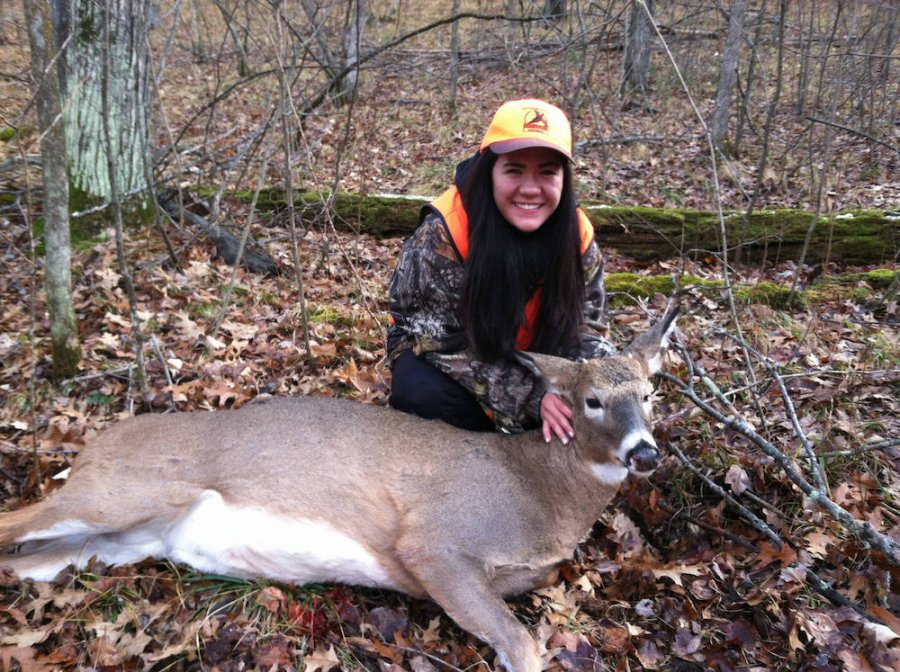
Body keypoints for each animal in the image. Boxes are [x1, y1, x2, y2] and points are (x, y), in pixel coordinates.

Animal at [0, 307, 678, 672]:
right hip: (119, 490)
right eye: (591, 400)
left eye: (650, 393)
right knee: (13, 523)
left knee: (27, 560)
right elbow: (522, 642)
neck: (538, 492)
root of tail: (94, 442)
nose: (643, 453)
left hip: (121, 540)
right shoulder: (434, 539)